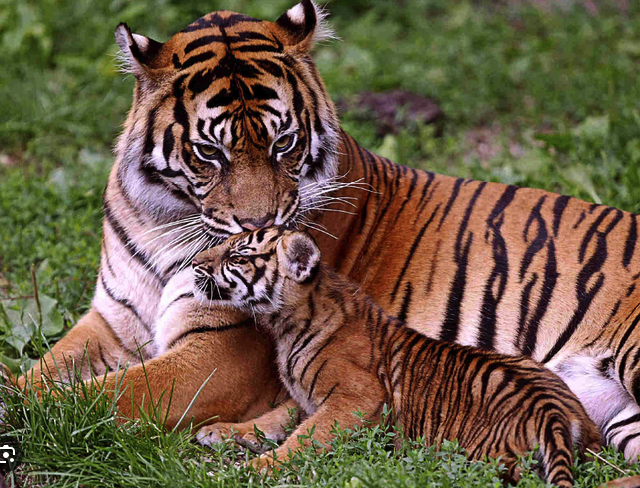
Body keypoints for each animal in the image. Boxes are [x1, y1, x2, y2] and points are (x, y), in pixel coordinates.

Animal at [11, 0, 640, 459]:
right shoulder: (110, 322)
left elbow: (105, 393)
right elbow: (41, 373)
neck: (163, 223)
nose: (261, 226)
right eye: (210, 152)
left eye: (283, 142)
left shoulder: (221, 352)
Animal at [190, 227, 601, 486]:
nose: (195, 263)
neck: (285, 324)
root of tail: (553, 412)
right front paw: (221, 431)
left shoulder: (357, 398)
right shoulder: (304, 399)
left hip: (479, 457)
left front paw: (254, 468)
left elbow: (303, 438)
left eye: (237, 256)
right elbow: (273, 419)